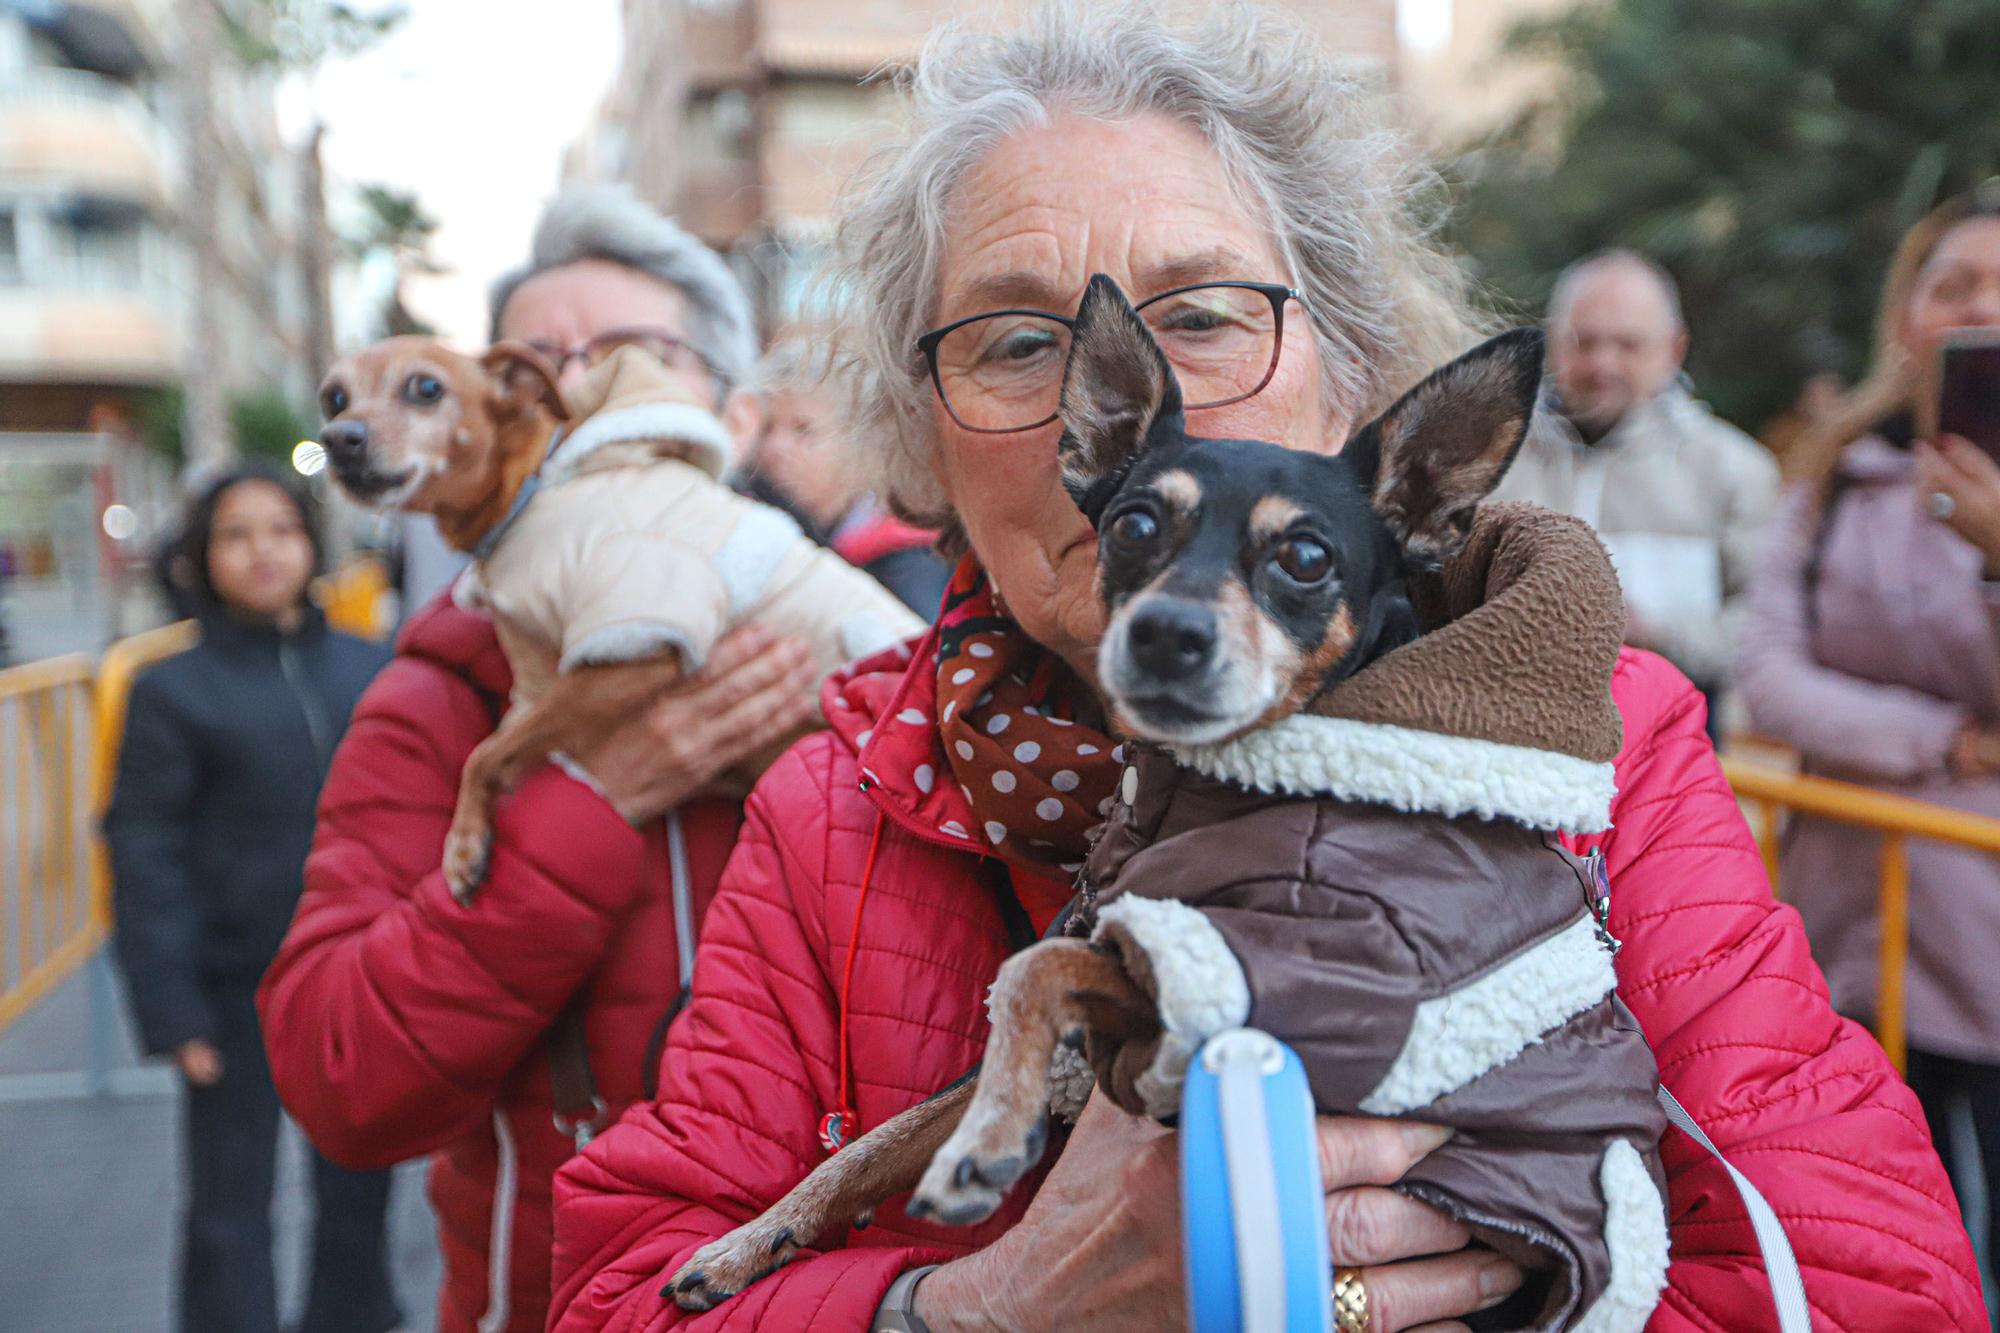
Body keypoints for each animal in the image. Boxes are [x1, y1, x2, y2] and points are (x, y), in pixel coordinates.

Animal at [320, 332, 920, 896]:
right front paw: (472, 832)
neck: (530, 491)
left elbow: (483, 754)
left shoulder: (634, 648)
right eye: (334, 398)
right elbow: (497, 748)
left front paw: (464, 842)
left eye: (425, 387)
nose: (337, 439)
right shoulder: (536, 682)